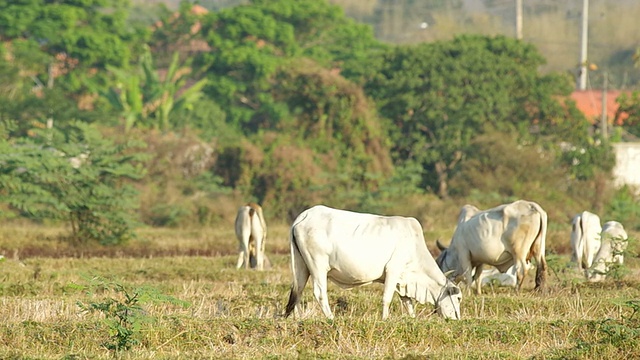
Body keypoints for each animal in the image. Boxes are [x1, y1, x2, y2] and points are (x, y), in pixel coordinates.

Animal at [284, 205, 460, 320]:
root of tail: (304, 216)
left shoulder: (402, 280)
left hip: (302, 266)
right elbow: (387, 298)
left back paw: (299, 319)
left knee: (297, 291)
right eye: (458, 298)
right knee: (320, 293)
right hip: (318, 266)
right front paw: (385, 320)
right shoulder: (393, 270)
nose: (457, 320)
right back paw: (331, 319)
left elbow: (407, 301)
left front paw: (412, 319)